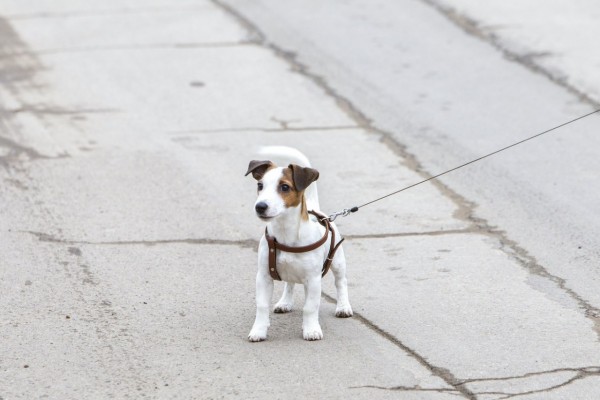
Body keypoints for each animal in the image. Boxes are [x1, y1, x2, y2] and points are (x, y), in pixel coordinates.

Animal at [246, 147, 354, 340]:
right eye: (260, 186)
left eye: (284, 187)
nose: (260, 206)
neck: (285, 233)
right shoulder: (263, 277)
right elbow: (262, 306)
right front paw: (258, 330)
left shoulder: (313, 280)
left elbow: (310, 307)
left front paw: (311, 329)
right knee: (289, 284)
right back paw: (285, 302)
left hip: (338, 262)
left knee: (341, 282)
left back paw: (343, 306)